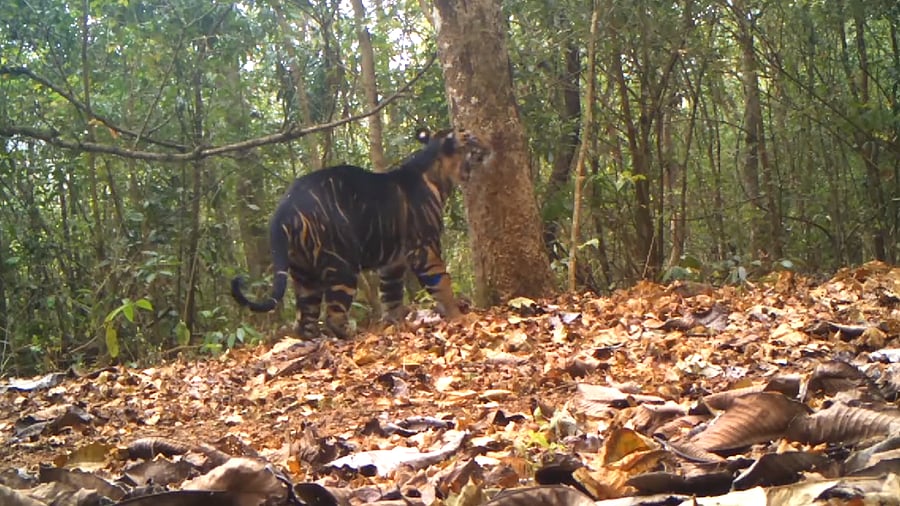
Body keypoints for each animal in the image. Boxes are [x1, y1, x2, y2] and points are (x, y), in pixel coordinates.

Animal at [230, 127, 491, 339]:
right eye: (471, 137)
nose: (488, 146)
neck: (438, 175)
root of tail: (282, 210)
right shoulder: (425, 247)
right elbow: (442, 284)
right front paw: (460, 318)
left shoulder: (393, 263)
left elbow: (391, 296)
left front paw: (397, 325)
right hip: (342, 268)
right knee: (333, 316)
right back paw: (353, 336)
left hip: (304, 274)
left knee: (305, 321)